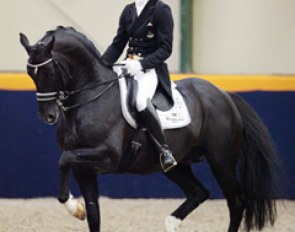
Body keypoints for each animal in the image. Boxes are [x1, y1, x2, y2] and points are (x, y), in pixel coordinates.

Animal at [20, 26, 280, 231]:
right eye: (29, 74)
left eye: (48, 72)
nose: (48, 116)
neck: (92, 95)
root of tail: (224, 94)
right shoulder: (84, 168)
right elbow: (93, 214)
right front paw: (79, 209)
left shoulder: (108, 156)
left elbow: (64, 159)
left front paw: (74, 207)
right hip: (177, 164)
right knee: (199, 192)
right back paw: (171, 223)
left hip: (221, 162)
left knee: (236, 203)